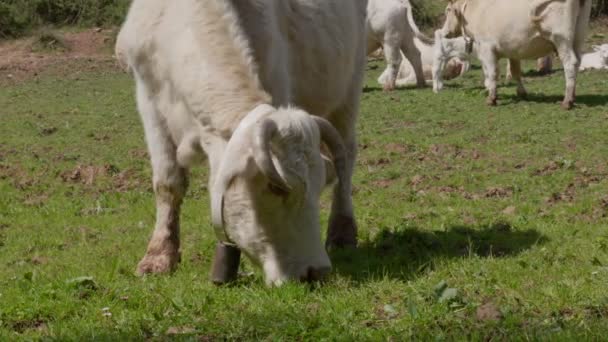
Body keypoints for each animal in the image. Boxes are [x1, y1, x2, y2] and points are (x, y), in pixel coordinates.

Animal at [116, 0, 368, 286]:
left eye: (319, 185)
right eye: (275, 187)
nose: (316, 271)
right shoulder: (149, 102)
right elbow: (167, 184)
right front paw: (159, 256)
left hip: (349, 88)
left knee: (347, 157)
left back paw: (342, 231)